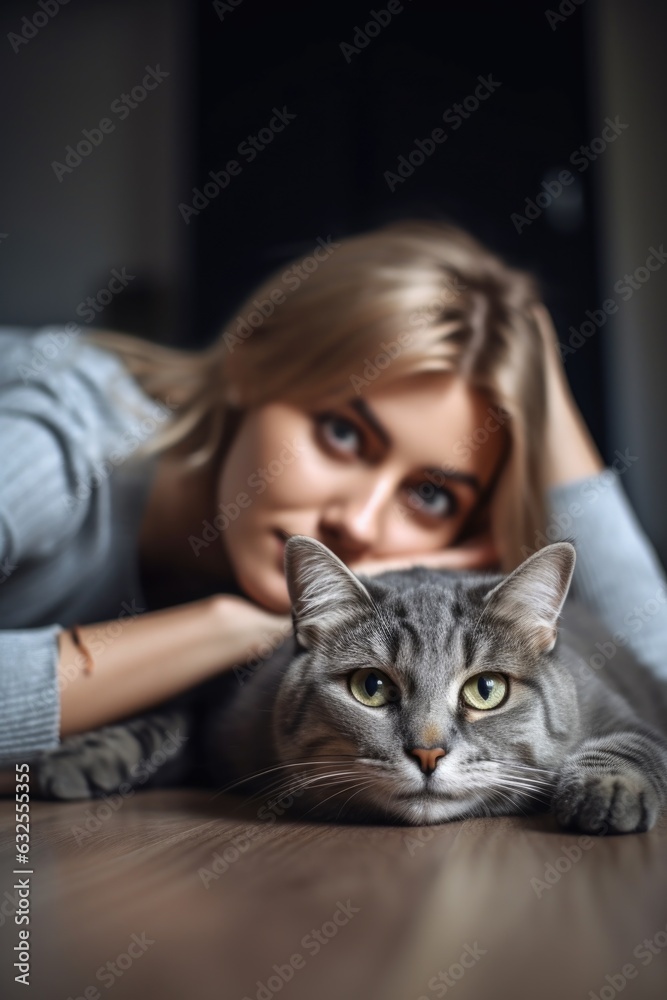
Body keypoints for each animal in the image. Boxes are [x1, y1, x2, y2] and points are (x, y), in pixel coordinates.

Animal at [30, 536, 667, 832]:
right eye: (371, 687)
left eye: (486, 691)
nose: (428, 753)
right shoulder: (225, 704)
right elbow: (165, 719)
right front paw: (81, 752)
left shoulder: (620, 712)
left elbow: (628, 743)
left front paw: (607, 790)